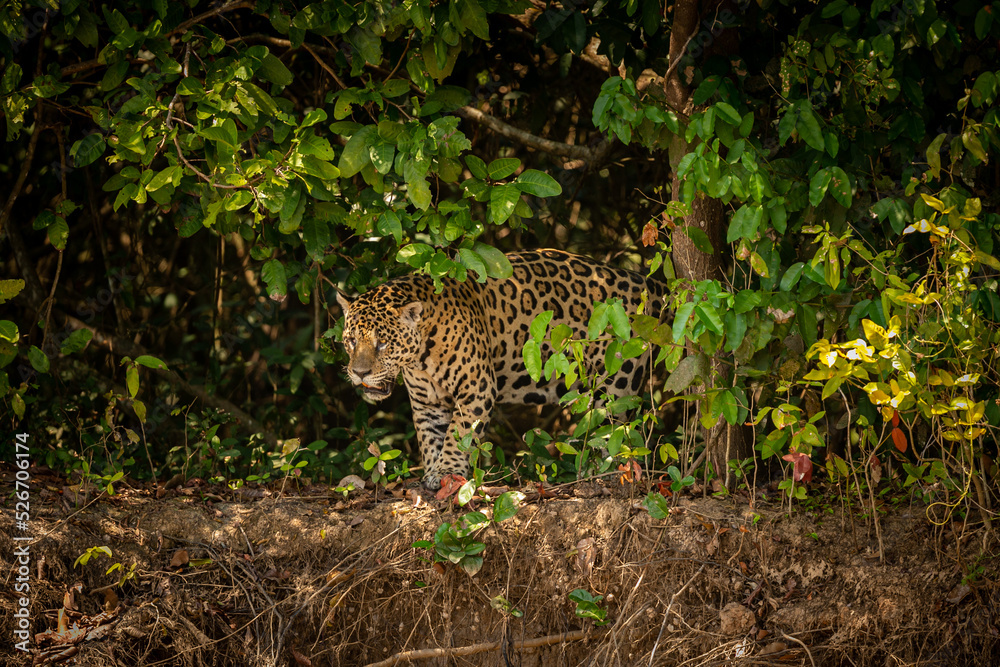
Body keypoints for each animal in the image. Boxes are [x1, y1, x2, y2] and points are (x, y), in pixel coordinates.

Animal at [336, 249, 667, 490]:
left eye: (382, 343)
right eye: (351, 341)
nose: (360, 373)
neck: (421, 356)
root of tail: (645, 281)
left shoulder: (476, 387)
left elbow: (458, 434)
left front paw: (448, 470)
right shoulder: (426, 401)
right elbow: (430, 437)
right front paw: (432, 472)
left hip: (617, 381)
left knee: (615, 429)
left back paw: (603, 472)